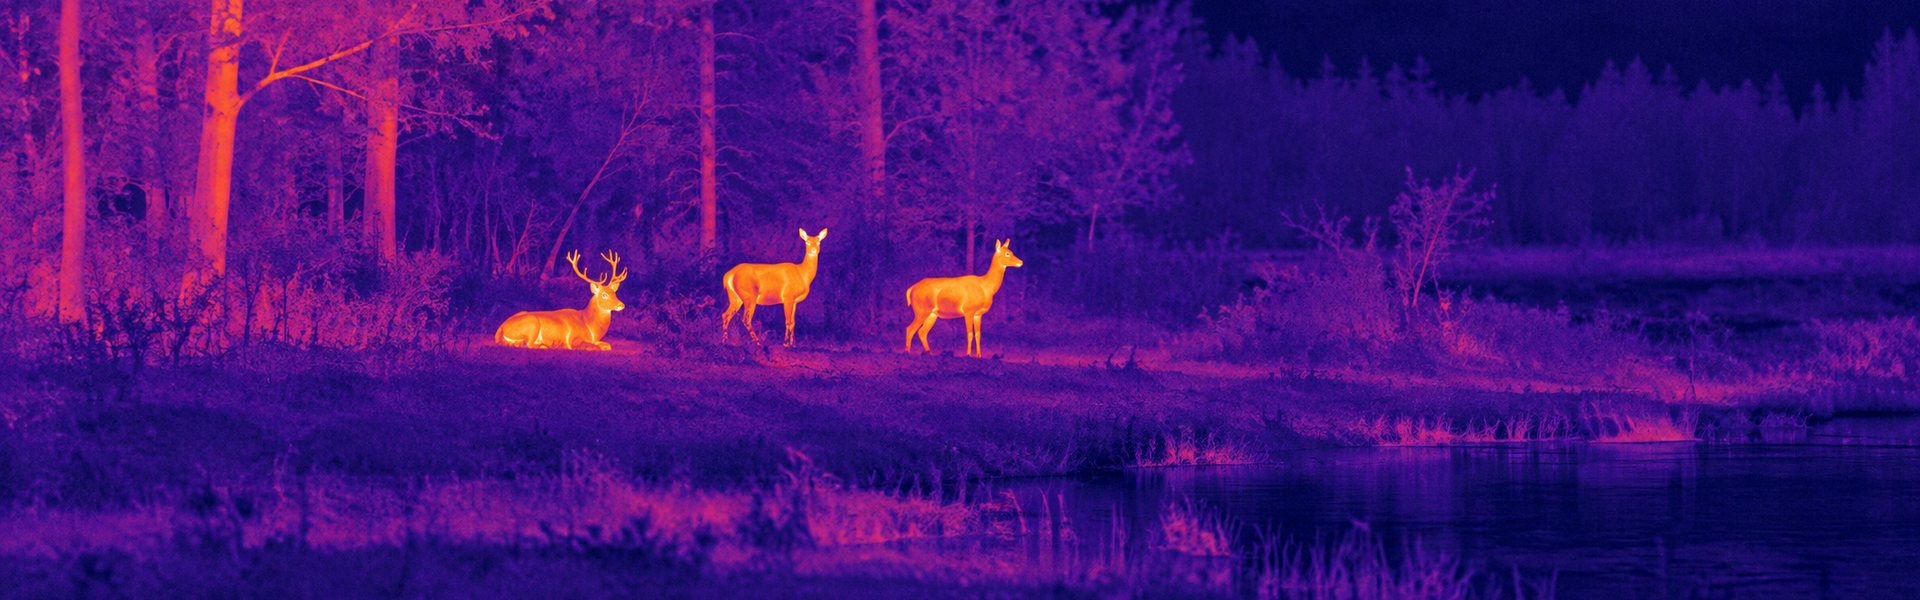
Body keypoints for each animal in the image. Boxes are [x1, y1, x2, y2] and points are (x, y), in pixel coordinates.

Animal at [495, 250, 628, 350]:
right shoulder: (575, 339)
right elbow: (595, 347)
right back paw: (546, 345)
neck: (589, 326)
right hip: (532, 323)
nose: (621, 305)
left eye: (614, 293)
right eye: (604, 294)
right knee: (529, 344)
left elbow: (607, 345)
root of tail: (501, 328)